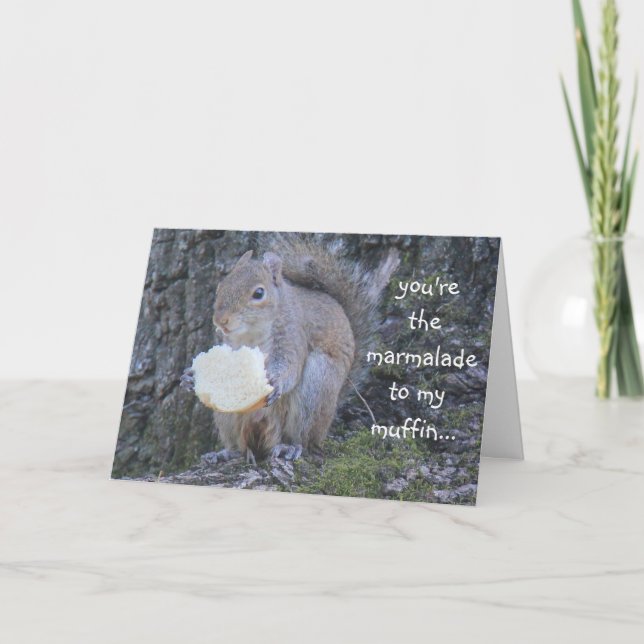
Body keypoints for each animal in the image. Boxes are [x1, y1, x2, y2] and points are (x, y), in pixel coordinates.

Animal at [181, 235, 399, 465]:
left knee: (303, 438)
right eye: (220, 286)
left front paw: (275, 383)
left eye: (259, 293)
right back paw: (226, 453)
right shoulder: (232, 345)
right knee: (238, 444)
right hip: (227, 416)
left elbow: (290, 367)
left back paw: (289, 447)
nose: (221, 321)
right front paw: (189, 377)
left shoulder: (293, 337)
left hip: (315, 388)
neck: (252, 332)